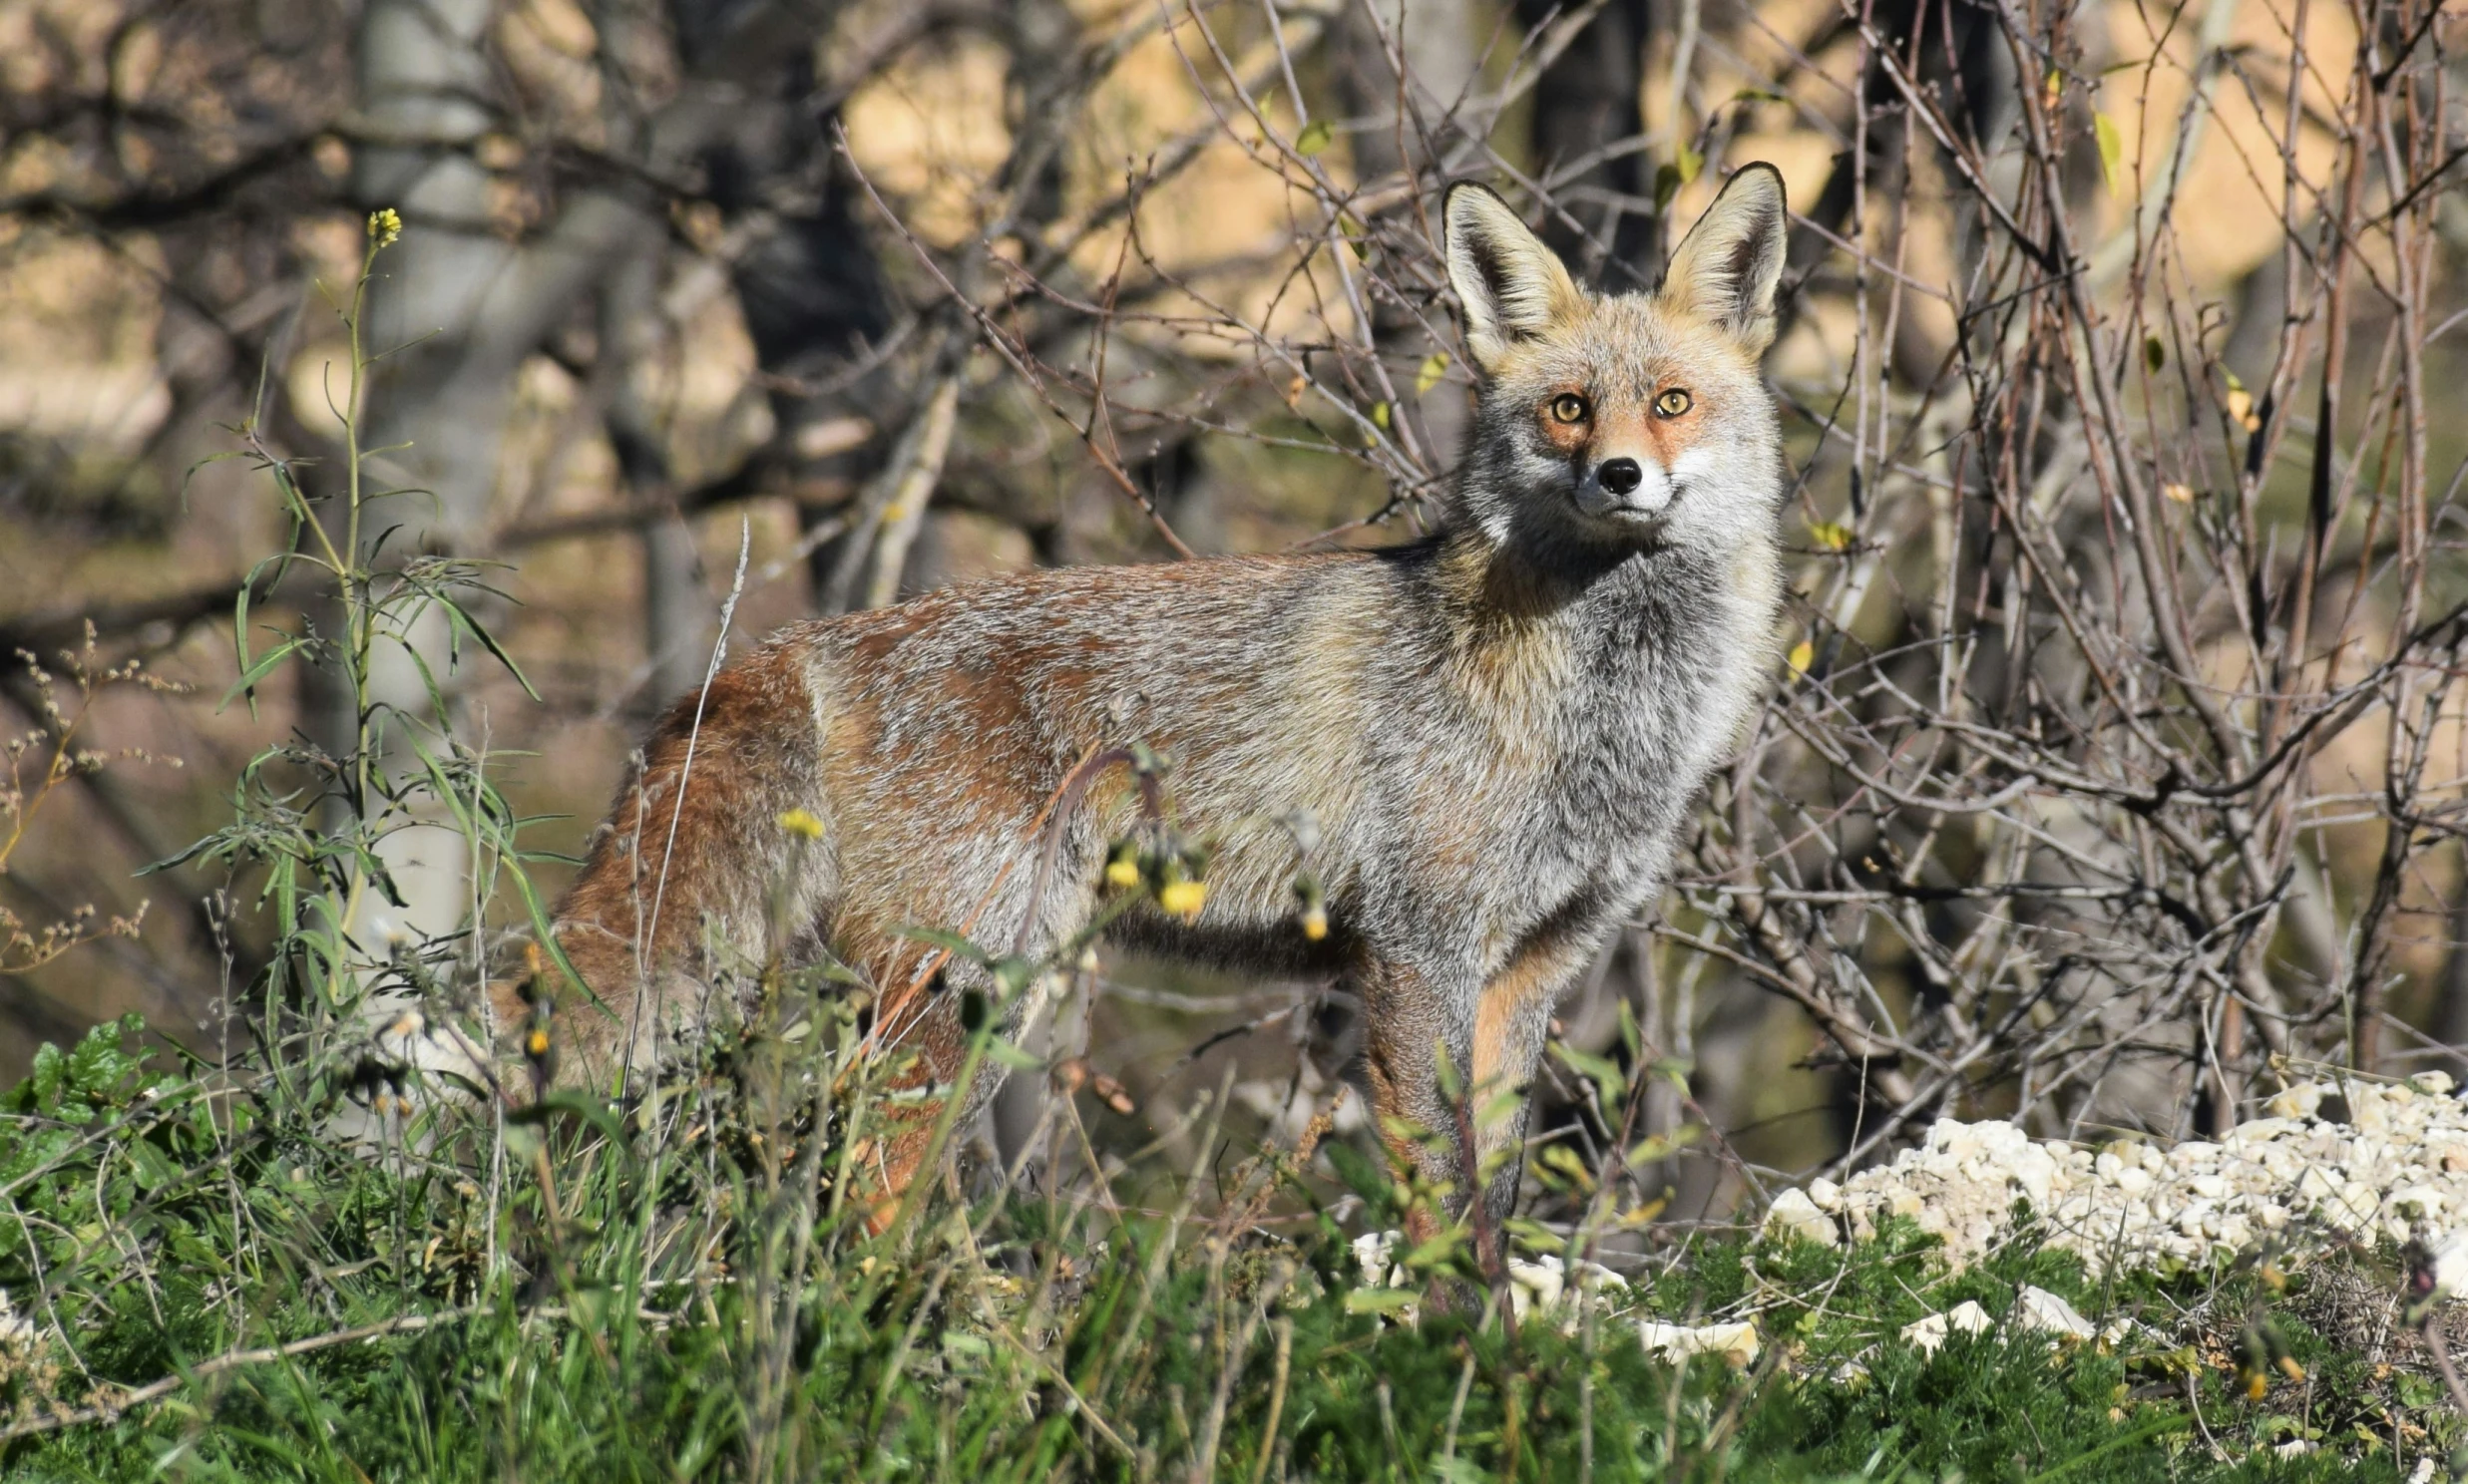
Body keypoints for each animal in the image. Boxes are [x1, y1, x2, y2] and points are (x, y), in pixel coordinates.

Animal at [521, 165, 1797, 1225]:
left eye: (1671, 403)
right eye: (1569, 408)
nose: (1619, 476)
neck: (1603, 717)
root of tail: (809, 639)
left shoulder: (1531, 965)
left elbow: (1496, 1186)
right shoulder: (1415, 951)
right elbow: (1444, 1200)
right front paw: (1454, 1348)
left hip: (990, 992)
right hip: (965, 976)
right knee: (857, 1190)